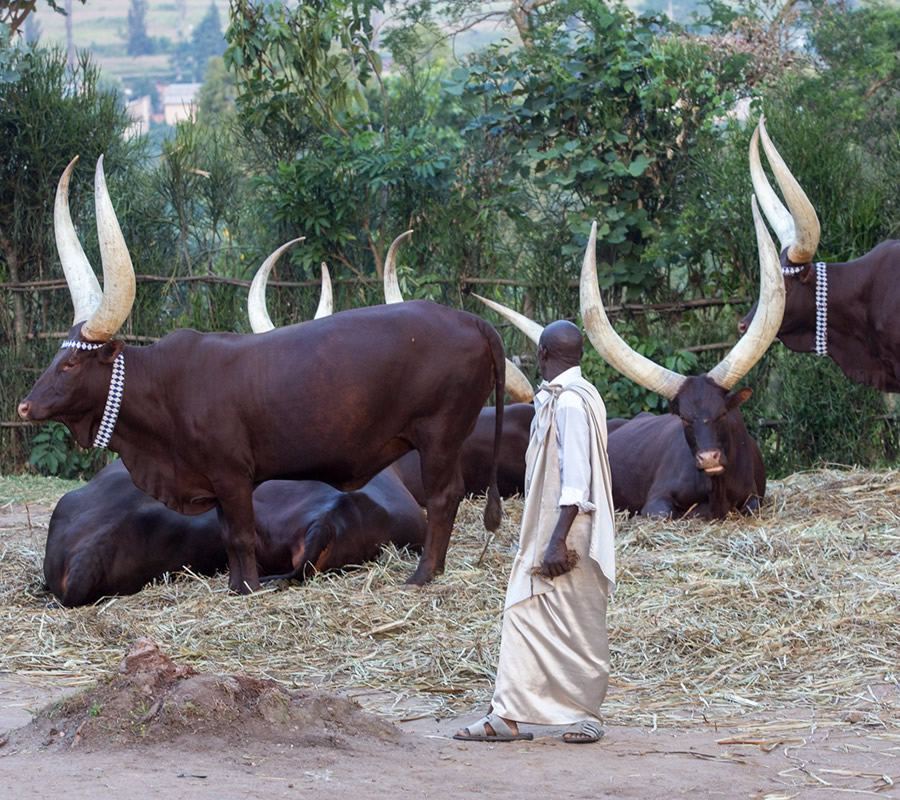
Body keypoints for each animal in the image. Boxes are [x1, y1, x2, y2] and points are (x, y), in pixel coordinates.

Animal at [17, 158, 506, 592]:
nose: (25, 405)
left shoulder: (233, 474)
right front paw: (235, 586)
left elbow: (240, 535)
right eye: (57, 356)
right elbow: (229, 536)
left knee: (444, 498)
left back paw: (423, 575)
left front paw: (248, 588)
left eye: (71, 364)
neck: (165, 388)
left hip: (439, 434)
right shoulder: (215, 482)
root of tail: (472, 321)